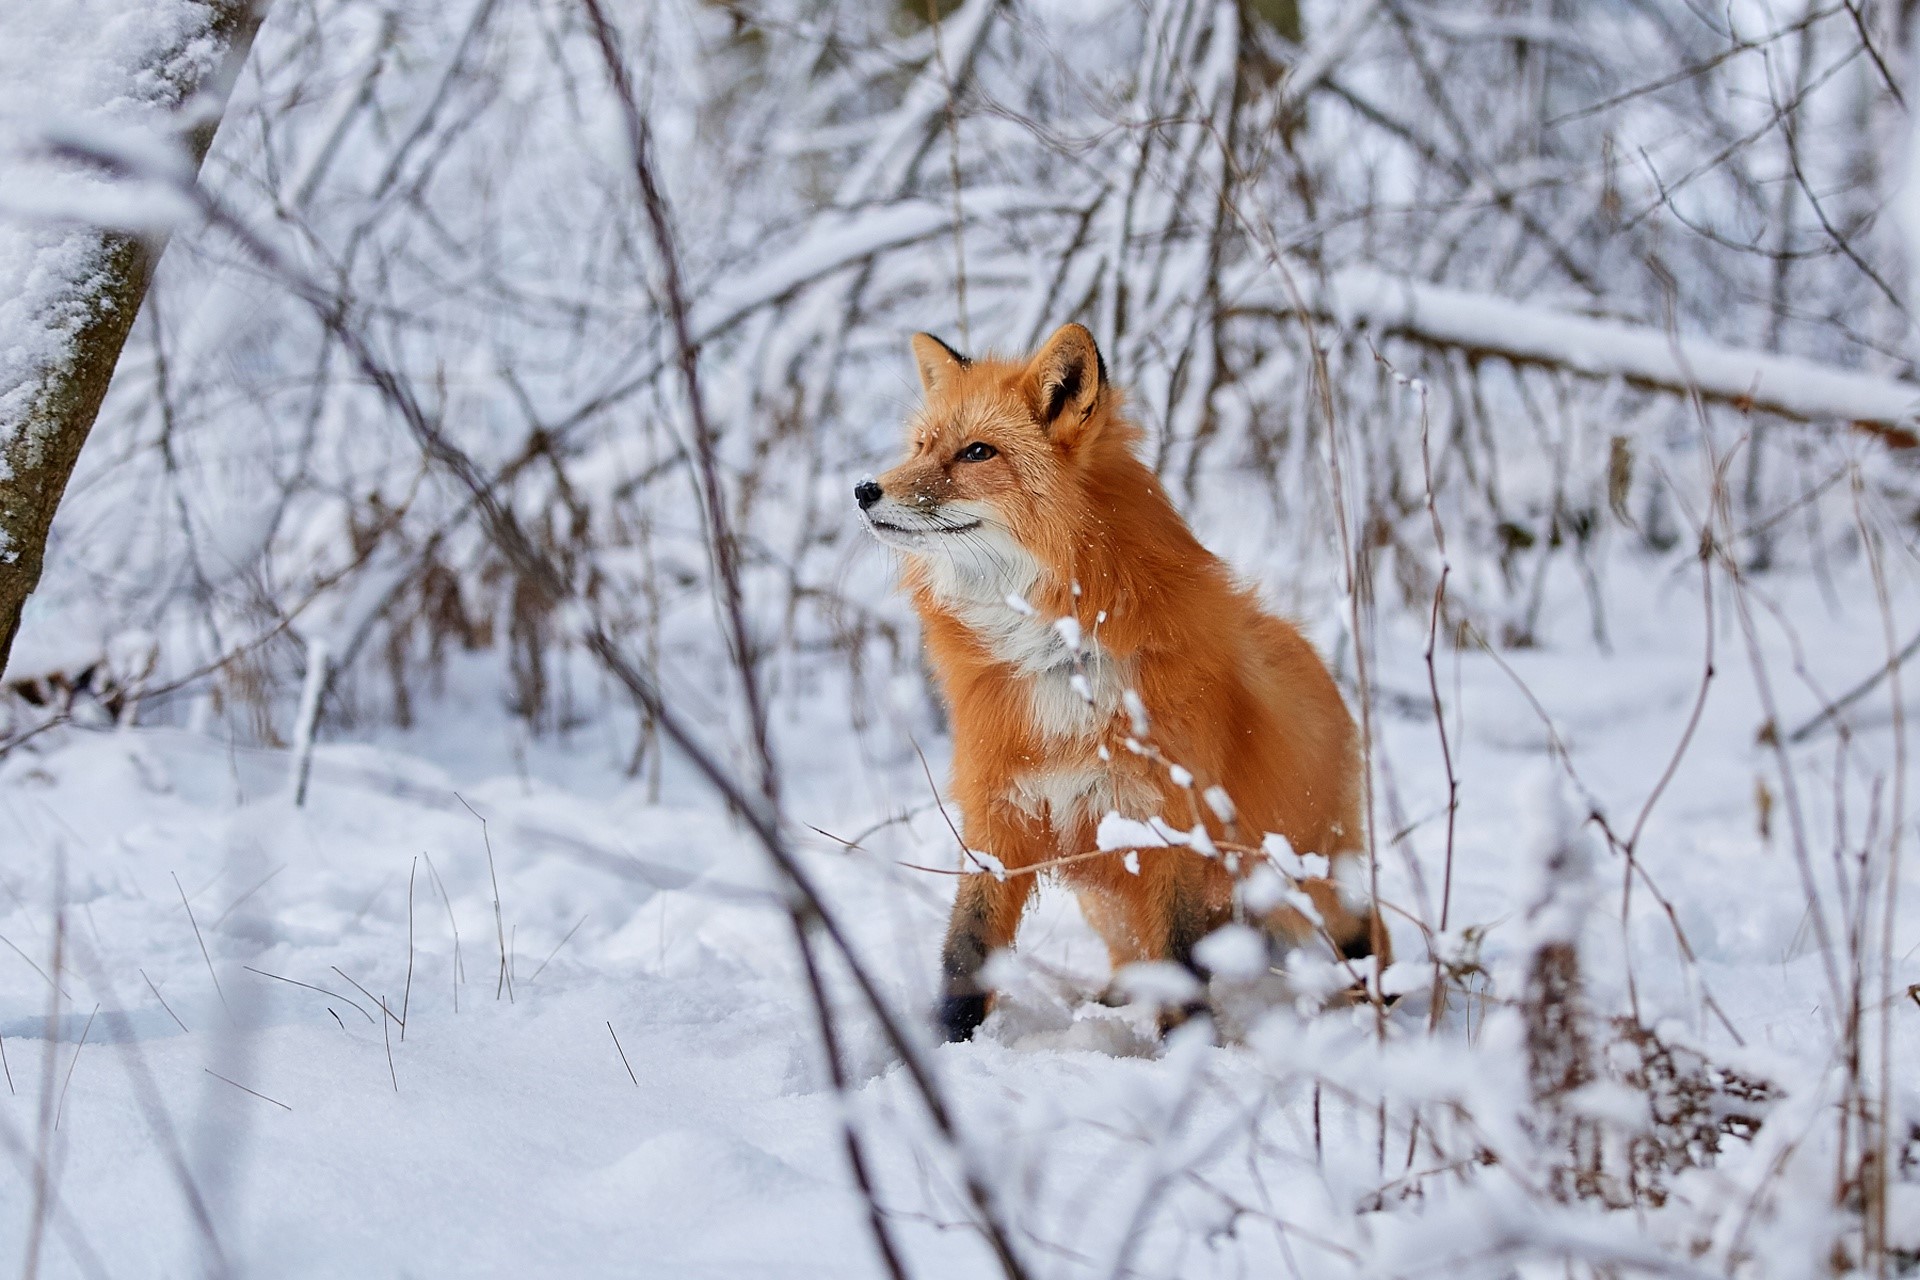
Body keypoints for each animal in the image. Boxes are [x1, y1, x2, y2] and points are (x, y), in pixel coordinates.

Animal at [858, 322, 1387, 1042]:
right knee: (1135, 952)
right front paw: (947, 1045)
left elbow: (1184, 964)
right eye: (919, 447)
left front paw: (1190, 1050)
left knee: (1362, 929)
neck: (1058, 660)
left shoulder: (1172, 826)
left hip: (1301, 877)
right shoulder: (999, 813)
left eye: (977, 452)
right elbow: (966, 948)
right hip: (1109, 893)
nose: (865, 489)